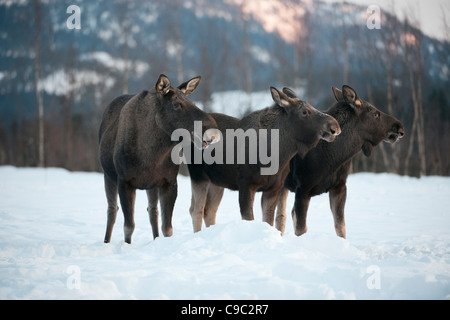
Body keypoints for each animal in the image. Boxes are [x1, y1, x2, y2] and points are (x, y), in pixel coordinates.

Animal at [98, 75, 220, 244]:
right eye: (176, 104)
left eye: (194, 103)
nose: (212, 131)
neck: (151, 156)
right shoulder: (124, 181)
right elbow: (128, 226)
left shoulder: (168, 182)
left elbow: (167, 228)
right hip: (108, 175)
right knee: (112, 210)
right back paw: (106, 241)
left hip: (151, 185)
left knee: (152, 211)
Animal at [185, 87, 340, 232]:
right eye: (304, 112)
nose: (334, 126)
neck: (278, 155)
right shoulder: (246, 184)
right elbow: (249, 218)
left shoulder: (274, 188)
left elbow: (268, 220)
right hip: (199, 175)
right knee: (196, 210)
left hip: (217, 181)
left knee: (209, 211)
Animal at [272, 84, 406, 238]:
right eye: (375, 113)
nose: (399, 126)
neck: (335, 156)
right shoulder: (303, 188)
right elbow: (301, 229)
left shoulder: (339, 186)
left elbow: (340, 227)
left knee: (281, 216)